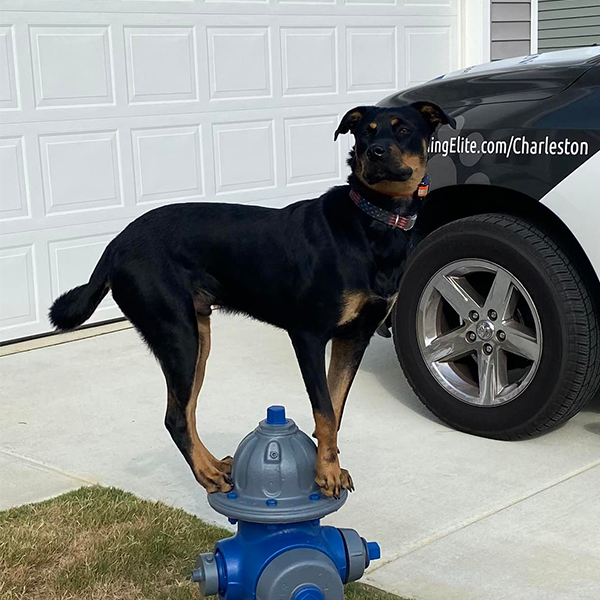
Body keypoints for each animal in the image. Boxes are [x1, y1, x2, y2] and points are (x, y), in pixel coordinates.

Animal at [50, 102, 454, 496]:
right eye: (364, 133)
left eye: (403, 129)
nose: (375, 152)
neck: (374, 219)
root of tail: (115, 246)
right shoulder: (308, 335)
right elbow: (324, 409)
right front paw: (327, 474)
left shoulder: (354, 337)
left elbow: (336, 407)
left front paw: (329, 464)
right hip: (177, 333)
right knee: (176, 416)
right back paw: (206, 474)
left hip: (198, 337)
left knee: (186, 410)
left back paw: (214, 465)